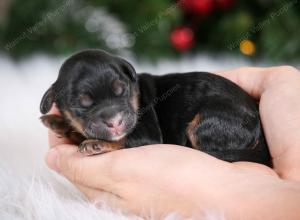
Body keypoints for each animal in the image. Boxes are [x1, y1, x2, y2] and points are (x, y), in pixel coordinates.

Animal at [39, 49, 272, 166]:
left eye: (121, 90)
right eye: (83, 104)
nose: (115, 122)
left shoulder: (147, 132)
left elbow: (124, 140)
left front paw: (95, 143)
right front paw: (58, 122)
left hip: (206, 122)